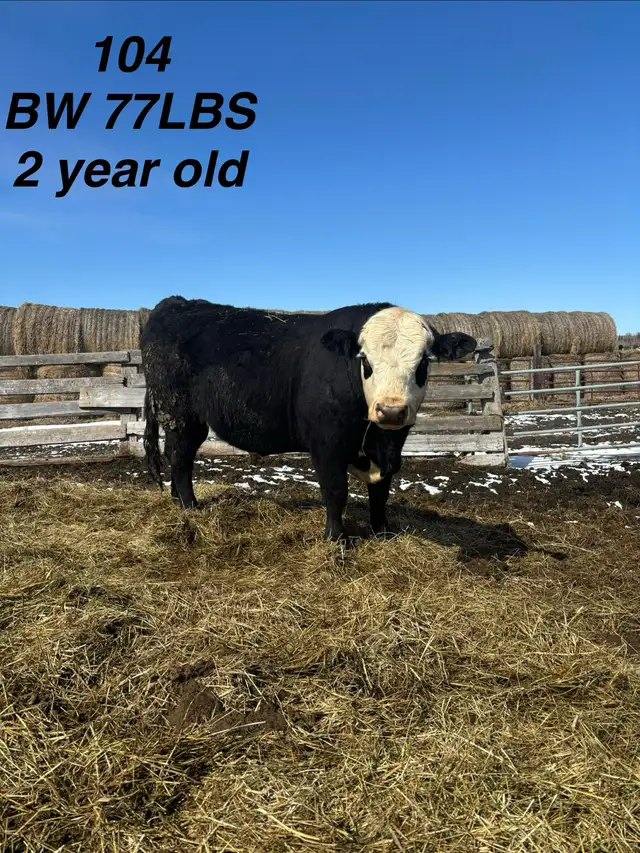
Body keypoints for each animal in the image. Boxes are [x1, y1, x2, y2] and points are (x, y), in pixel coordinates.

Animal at [140, 297, 476, 541]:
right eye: (365, 360)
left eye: (423, 363)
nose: (391, 410)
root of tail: (176, 303)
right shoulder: (327, 443)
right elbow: (336, 490)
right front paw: (336, 538)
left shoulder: (391, 444)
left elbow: (381, 491)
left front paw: (382, 532)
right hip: (181, 414)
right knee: (181, 457)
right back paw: (190, 506)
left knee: (175, 455)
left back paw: (175, 498)